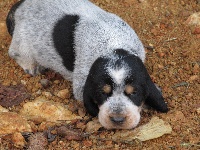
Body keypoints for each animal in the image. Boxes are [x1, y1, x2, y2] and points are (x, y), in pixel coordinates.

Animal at [6, 0, 168, 129]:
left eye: (134, 93)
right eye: (102, 93)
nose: (117, 120)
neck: (113, 45)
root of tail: (20, 6)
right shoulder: (81, 83)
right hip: (22, 44)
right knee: (15, 52)